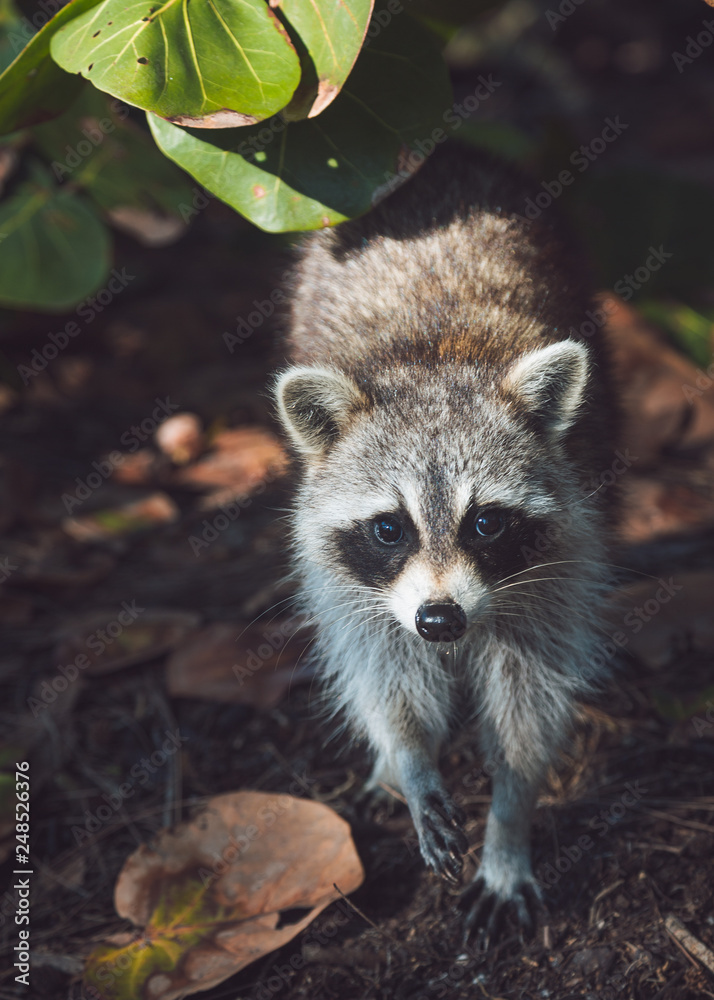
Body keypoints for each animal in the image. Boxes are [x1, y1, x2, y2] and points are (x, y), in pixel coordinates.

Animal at [274, 144, 619, 938]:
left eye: (485, 523)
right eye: (388, 528)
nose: (439, 620)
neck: (435, 359)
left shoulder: (556, 567)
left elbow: (529, 707)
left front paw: (509, 822)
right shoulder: (344, 579)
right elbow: (381, 672)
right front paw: (407, 758)